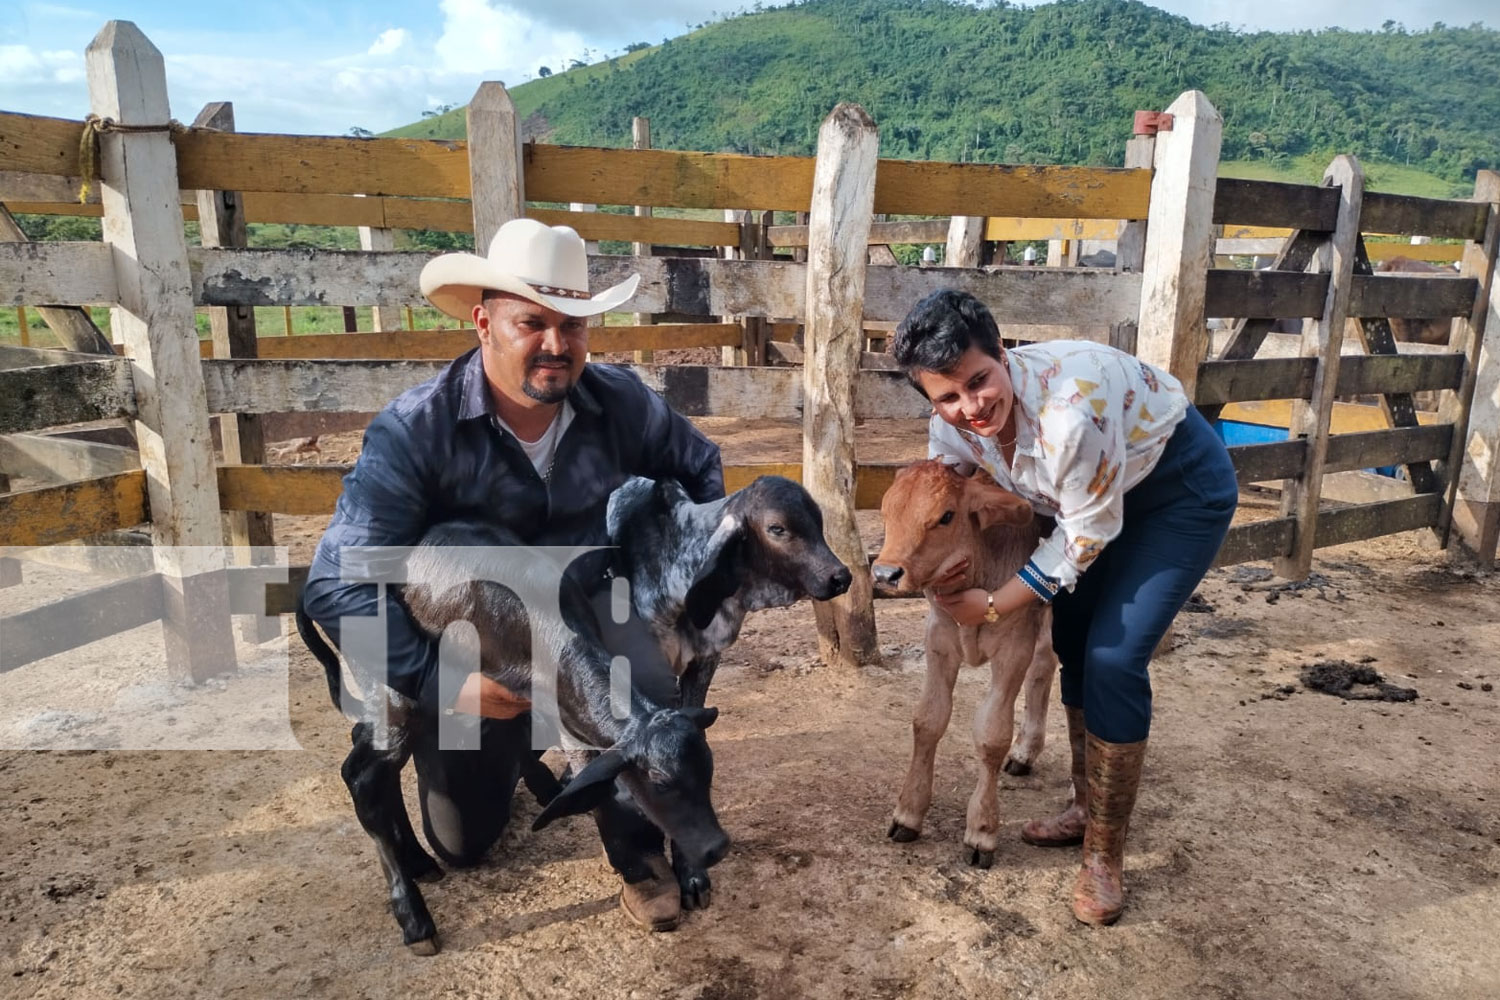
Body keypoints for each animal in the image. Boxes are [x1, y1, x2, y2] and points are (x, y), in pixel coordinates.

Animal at [876, 461, 1062, 869]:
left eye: (946, 516)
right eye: (886, 509)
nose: (884, 574)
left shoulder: (1014, 648)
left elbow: (992, 736)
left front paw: (982, 830)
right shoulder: (939, 638)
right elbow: (928, 720)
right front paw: (909, 813)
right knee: (1044, 665)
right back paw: (1025, 753)